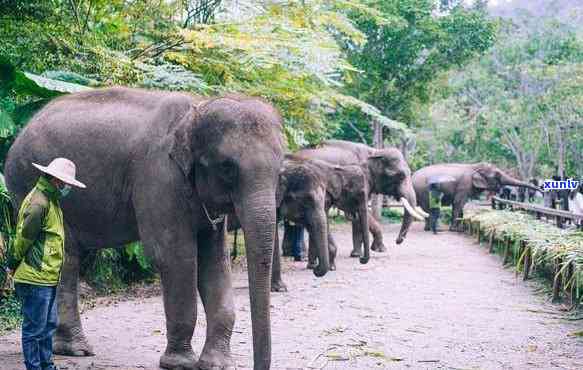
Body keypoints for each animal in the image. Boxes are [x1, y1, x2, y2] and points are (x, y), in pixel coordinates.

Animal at [4, 87, 288, 370]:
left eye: (279, 171)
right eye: (227, 167)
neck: (197, 108)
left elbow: (215, 261)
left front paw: (216, 364)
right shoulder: (159, 176)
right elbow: (174, 256)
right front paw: (179, 364)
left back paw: (65, 348)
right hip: (26, 180)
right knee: (66, 254)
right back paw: (76, 350)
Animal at [296, 139, 428, 258]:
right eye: (400, 176)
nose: (398, 240)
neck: (374, 152)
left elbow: (357, 214)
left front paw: (356, 254)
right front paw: (380, 249)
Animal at [410, 163, 544, 230]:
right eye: (497, 175)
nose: (542, 191)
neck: (475, 166)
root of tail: (412, 177)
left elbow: (461, 205)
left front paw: (460, 228)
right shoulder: (464, 185)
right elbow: (458, 203)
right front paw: (454, 229)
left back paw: (429, 228)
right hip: (423, 190)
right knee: (428, 208)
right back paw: (436, 228)